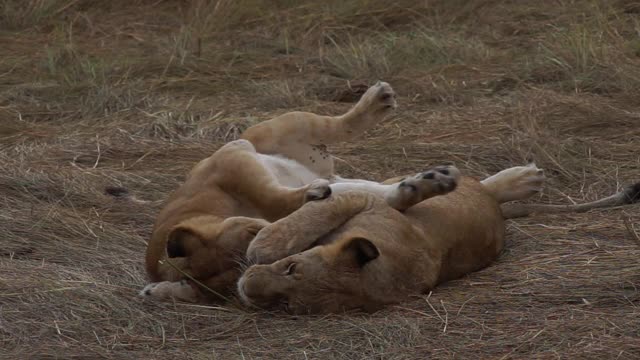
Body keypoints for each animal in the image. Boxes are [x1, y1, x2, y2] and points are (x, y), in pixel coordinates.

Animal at [140, 81, 464, 300]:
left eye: (251, 233)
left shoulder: (230, 159)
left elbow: (270, 196)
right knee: (363, 181)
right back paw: (428, 180)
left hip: (275, 129)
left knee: (335, 126)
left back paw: (378, 100)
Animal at [238, 167, 636, 316]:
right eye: (290, 267)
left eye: (288, 305)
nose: (245, 288)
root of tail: (495, 209)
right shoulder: (361, 203)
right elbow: (312, 215)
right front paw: (267, 242)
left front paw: (261, 246)